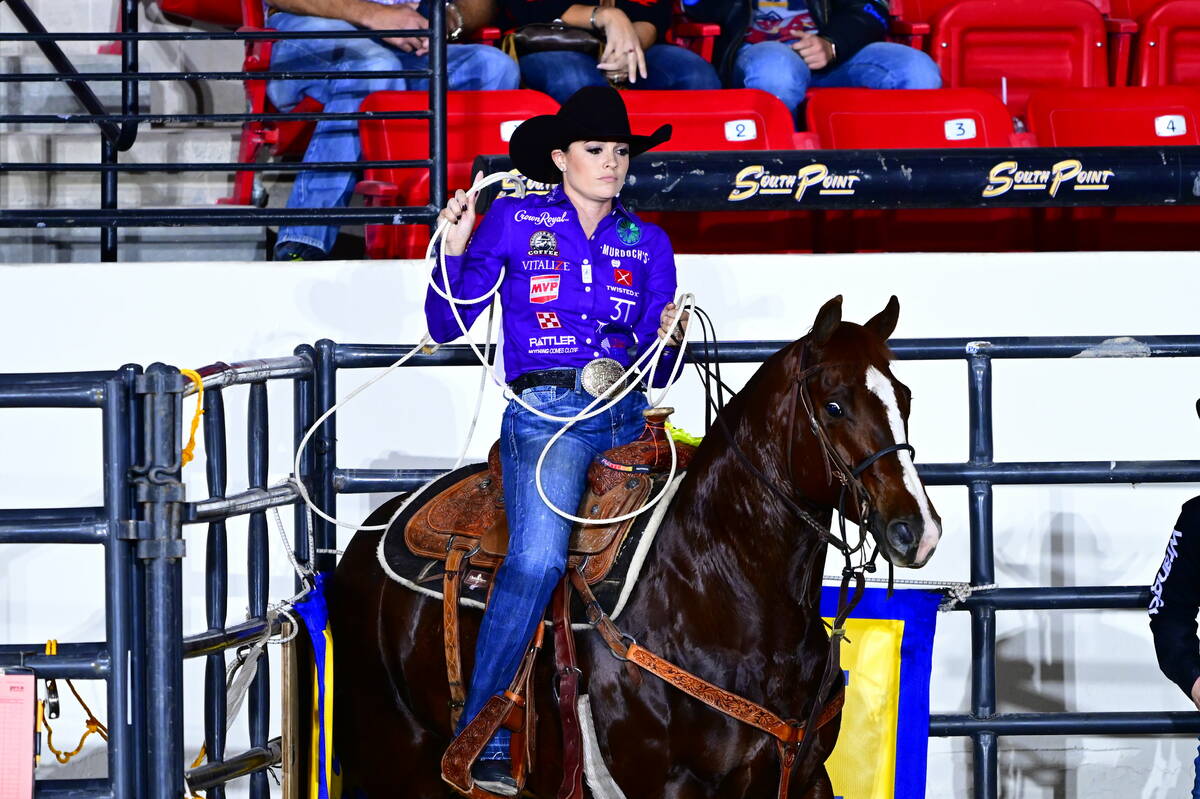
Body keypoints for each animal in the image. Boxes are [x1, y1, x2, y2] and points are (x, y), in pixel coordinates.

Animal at [328, 295, 936, 791]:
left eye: (906, 397)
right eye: (834, 405)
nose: (918, 529)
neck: (717, 593)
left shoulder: (806, 778)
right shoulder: (668, 784)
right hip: (392, 752)